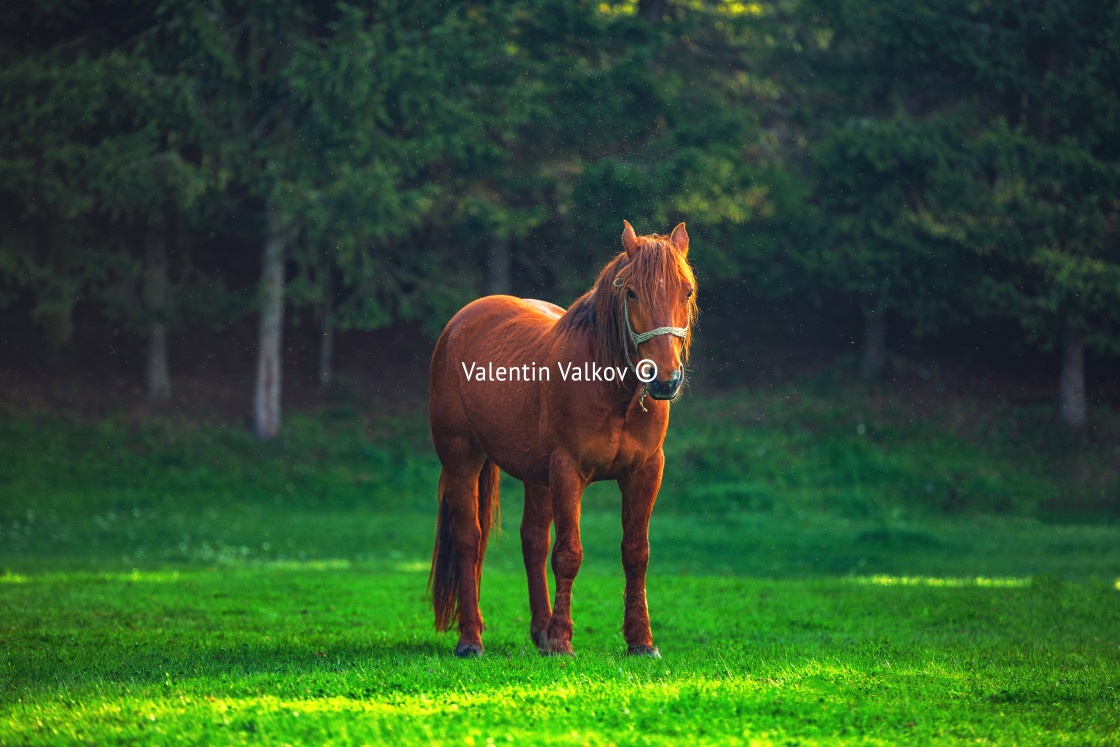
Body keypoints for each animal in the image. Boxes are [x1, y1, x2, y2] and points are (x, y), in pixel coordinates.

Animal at [430, 221, 698, 658]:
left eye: (686, 291)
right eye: (631, 292)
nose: (664, 379)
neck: (612, 392)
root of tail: (461, 321)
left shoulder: (645, 472)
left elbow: (636, 553)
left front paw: (641, 641)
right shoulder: (567, 470)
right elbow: (569, 554)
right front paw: (561, 643)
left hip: (536, 477)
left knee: (533, 541)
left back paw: (539, 630)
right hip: (461, 459)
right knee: (470, 539)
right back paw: (471, 639)